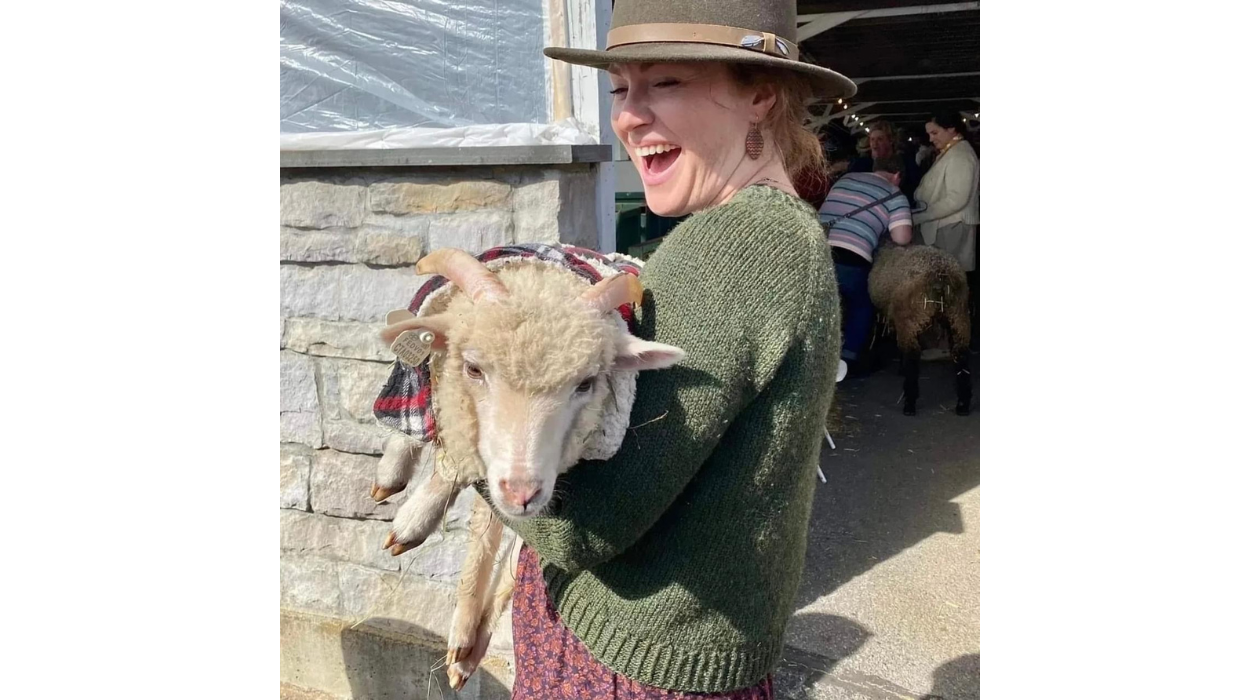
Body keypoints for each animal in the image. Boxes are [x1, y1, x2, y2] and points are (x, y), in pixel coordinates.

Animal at [367, 244, 680, 689]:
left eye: (586, 384)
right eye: (473, 369)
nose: (522, 492)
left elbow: (493, 532)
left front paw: (466, 642)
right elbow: (461, 483)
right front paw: (416, 518)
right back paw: (393, 473)